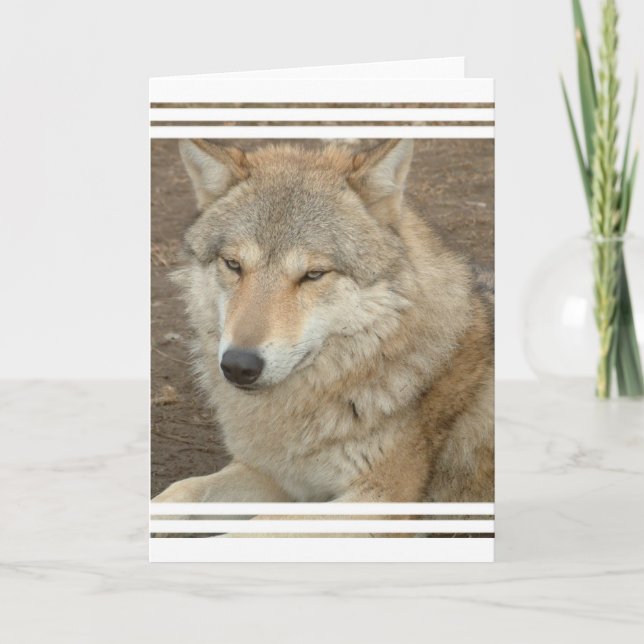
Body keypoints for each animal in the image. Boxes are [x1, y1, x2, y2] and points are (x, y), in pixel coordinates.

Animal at [153, 138, 494, 505]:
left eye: (313, 274)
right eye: (233, 265)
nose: (239, 366)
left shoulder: (379, 495)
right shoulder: (276, 476)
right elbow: (181, 488)